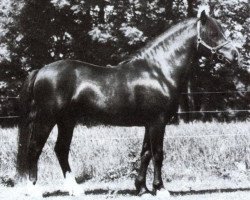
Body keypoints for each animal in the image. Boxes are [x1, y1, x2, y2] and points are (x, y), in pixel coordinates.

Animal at [17, 10, 238, 195]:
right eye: (213, 33)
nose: (234, 55)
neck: (159, 72)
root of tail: (41, 70)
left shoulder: (150, 123)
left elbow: (145, 154)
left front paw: (142, 188)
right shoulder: (158, 122)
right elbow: (158, 154)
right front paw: (161, 189)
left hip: (67, 121)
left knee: (61, 150)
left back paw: (75, 189)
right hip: (46, 119)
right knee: (34, 149)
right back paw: (34, 190)